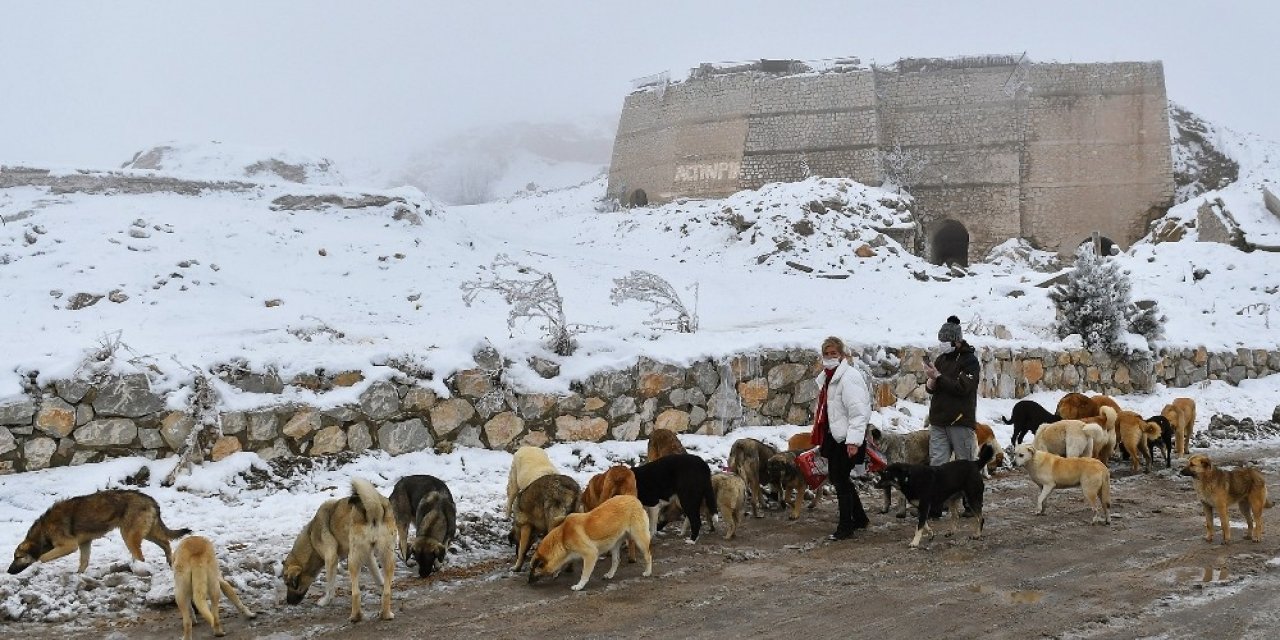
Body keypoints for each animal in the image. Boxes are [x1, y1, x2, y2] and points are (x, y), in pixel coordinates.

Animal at [6, 488, 190, 576]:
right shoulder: (84, 543)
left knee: (141, 556)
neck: (44, 530)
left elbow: (43, 557)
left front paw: (37, 563)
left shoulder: (70, 545)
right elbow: (83, 562)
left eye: (18, 557)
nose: (8, 571)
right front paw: (79, 576)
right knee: (166, 542)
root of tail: (150, 499)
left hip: (129, 535)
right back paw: (170, 563)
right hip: (147, 533)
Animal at [284, 478, 394, 622]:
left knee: (356, 593)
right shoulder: (368, 556)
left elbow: (330, 585)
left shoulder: (331, 558)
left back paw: (355, 616)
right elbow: (378, 578)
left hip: (352, 560)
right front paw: (381, 587)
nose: (288, 602)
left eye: (288, 584)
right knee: (387, 591)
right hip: (387, 556)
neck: (311, 537)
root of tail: (373, 507)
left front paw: (326, 601)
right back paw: (386, 614)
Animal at [527, 491, 655, 591]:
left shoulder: (590, 554)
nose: (527, 582)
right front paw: (557, 572)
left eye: (533, 569)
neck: (562, 537)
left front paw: (579, 586)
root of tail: (633, 499)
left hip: (639, 539)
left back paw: (648, 572)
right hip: (614, 544)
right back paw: (610, 574)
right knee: (616, 560)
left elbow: (584, 574)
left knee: (648, 555)